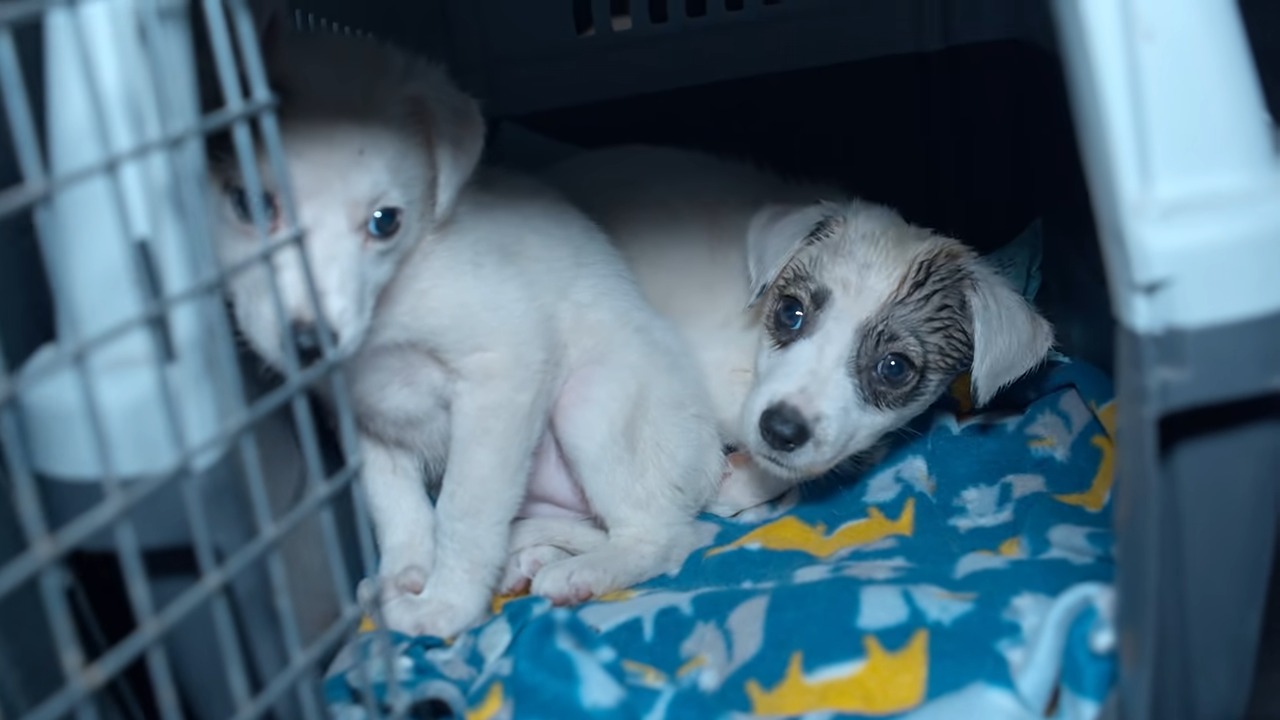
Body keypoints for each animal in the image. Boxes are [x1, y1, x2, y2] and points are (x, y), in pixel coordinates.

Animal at [213, 36, 727, 635]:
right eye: (249, 204)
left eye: (384, 221)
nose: (307, 343)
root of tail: (713, 460)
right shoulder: (364, 419)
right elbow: (397, 507)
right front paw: (405, 575)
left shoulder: (504, 371)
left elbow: (463, 510)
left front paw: (445, 605)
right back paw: (526, 560)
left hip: (590, 405)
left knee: (670, 536)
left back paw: (587, 572)